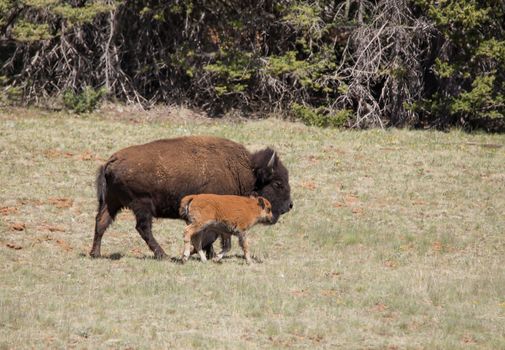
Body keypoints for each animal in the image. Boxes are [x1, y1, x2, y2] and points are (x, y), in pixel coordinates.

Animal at [90, 135, 292, 258]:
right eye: (278, 184)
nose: (289, 205)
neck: (242, 171)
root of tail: (112, 160)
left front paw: (208, 254)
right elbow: (211, 236)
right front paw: (197, 252)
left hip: (111, 202)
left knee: (101, 222)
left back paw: (95, 253)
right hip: (142, 205)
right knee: (143, 228)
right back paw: (162, 255)